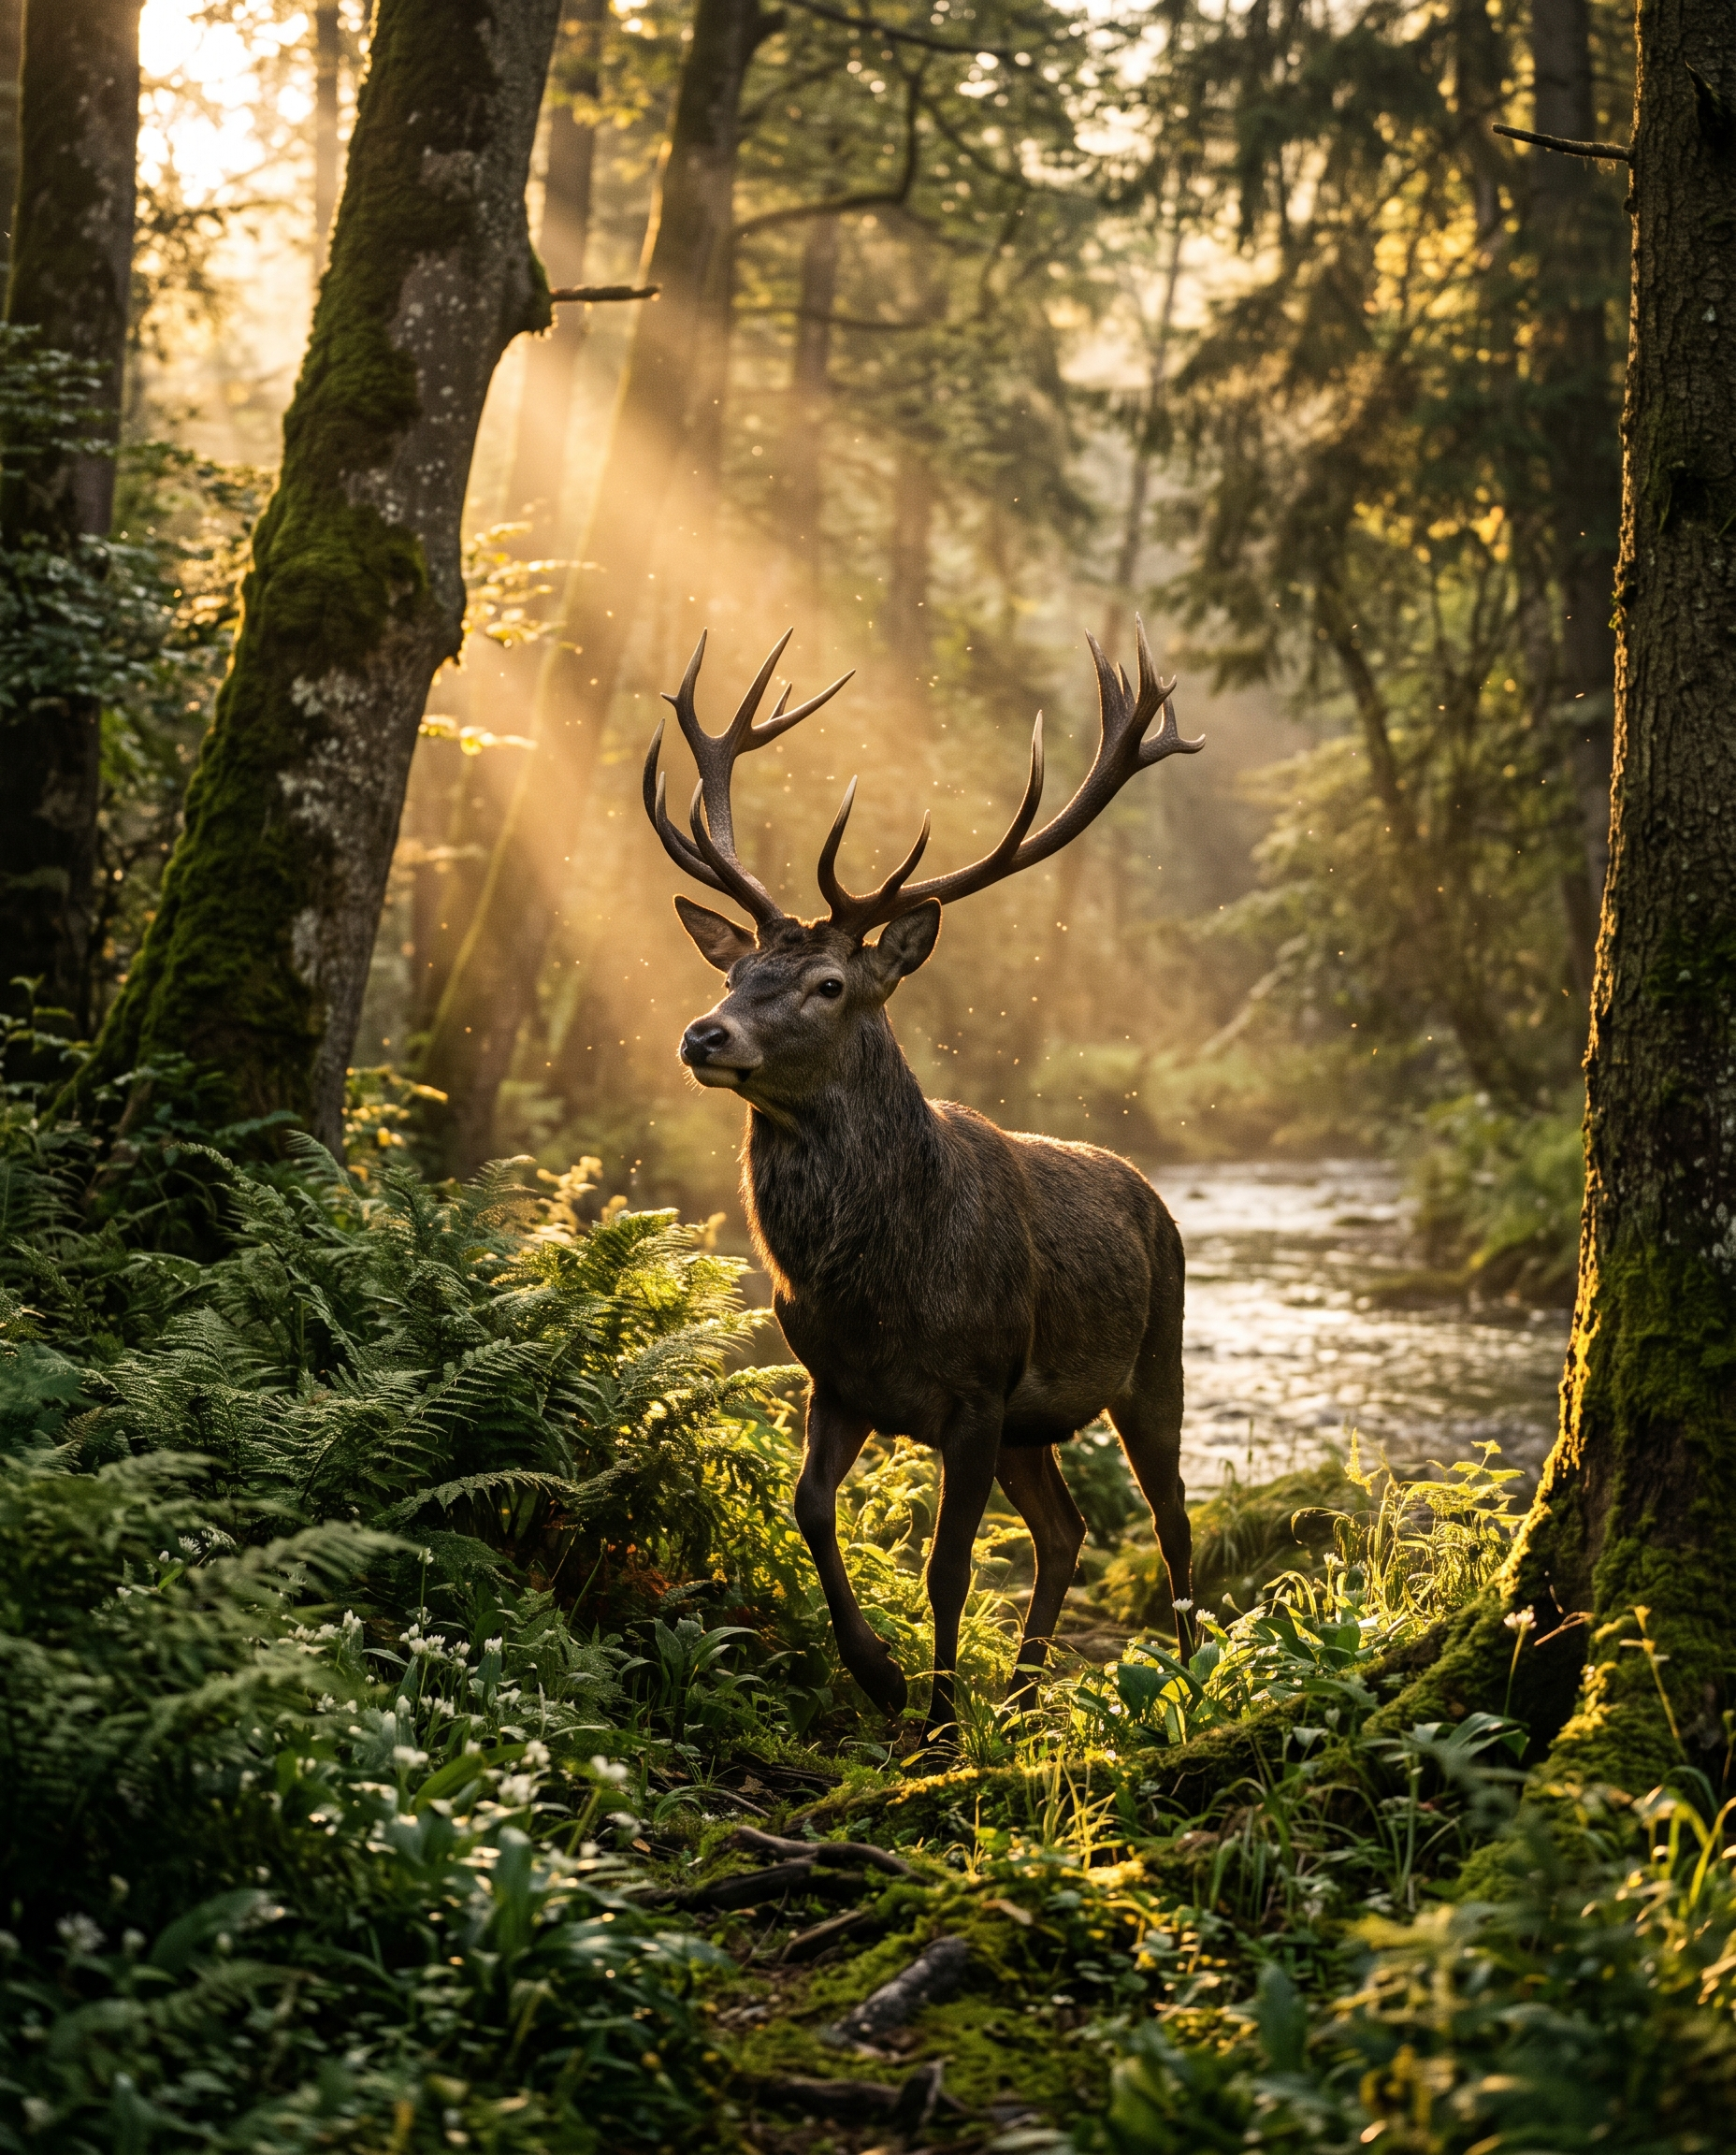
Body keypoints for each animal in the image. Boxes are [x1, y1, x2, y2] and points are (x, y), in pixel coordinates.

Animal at [642, 620, 1203, 1747]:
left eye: (828, 984)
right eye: (732, 973)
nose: (702, 1034)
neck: (877, 1285)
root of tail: (1150, 1193)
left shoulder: (977, 1390)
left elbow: (947, 1572)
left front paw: (939, 1726)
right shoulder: (835, 1378)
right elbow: (809, 1509)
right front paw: (883, 1678)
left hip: (1149, 1357)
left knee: (1170, 1519)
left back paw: (1196, 1685)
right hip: (1035, 1424)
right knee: (1067, 1528)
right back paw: (1024, 1697)